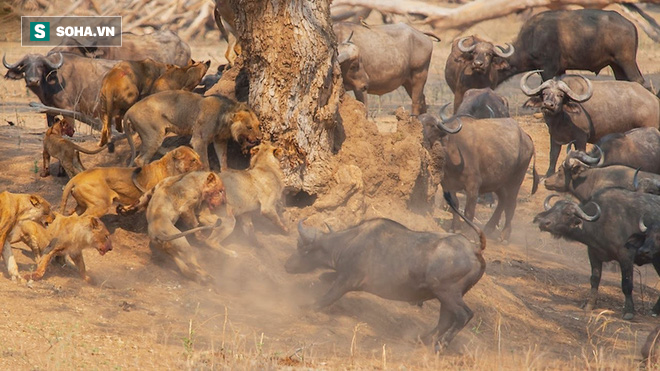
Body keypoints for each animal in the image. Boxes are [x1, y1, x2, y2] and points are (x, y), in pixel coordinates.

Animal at [59, 146, 204, 218]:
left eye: (199, 157)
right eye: (193, 160)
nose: (203, 167)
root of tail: (76, 177)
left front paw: (124, 210)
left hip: (82, 205)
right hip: (100, 205)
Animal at [124, 91, 260, 170]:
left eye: (258, 125)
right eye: (249, 127)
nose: (259, 138)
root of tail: (128, 111)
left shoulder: (220, 140)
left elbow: (223, 158)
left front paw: (225, 172)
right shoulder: (199, 140)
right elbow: (205, 163)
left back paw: (170, 150)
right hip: (153, 135)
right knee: (140, 159)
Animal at [284, 193, 484, 354]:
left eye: (301, 247)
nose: (287, 265)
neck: (350, 242)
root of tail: (474, 250)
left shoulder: (347, 280)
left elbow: (327, 297)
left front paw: (308, 305)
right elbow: (324, 277)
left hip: (447, 293)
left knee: (463, 315)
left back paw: (440, 345)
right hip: (445, 297)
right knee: (445, 319)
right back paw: (421, 339)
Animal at [520, 73, 656, 179]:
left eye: (561, 95)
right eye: (544, 93)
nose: (548, 105)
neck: (562, 119)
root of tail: (654, 100)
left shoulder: (581, 137)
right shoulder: (554, 136)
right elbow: (553, 155)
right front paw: (548, 175)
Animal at [532, 189, 660, 320]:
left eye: (567, 213)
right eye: (552, 209)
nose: (544, 223)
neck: (604, 221)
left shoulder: (626, 257)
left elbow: (627, 284)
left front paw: (628, 311)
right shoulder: (593, 254)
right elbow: (594, 279)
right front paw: (589, 304)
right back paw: (655, 310)